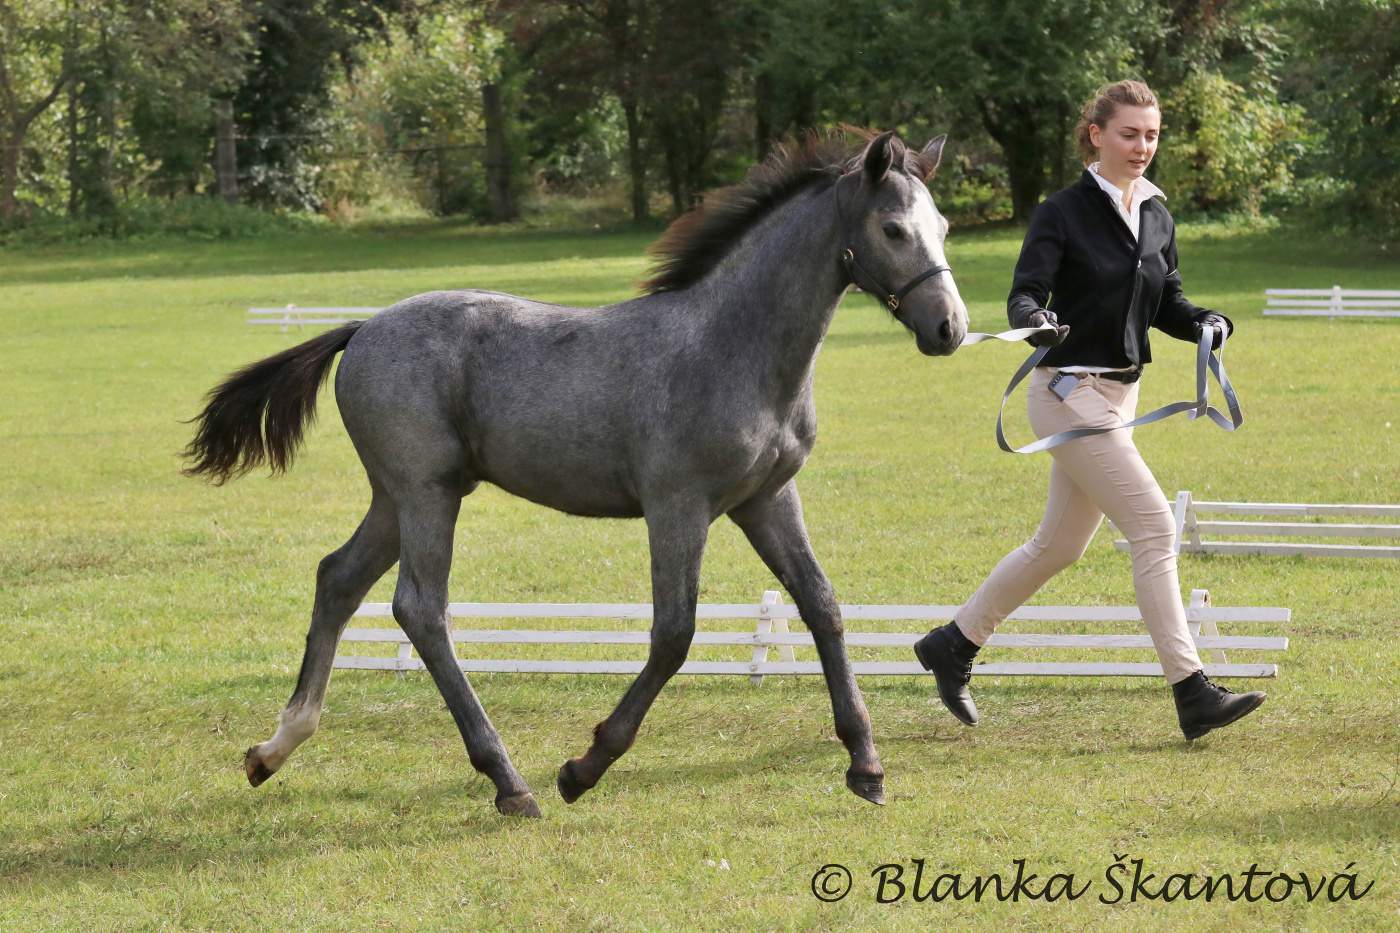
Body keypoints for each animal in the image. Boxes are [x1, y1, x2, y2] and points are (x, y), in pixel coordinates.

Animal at [184, 130, 969, 818]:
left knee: (339, 579)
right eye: (894, 229)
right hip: (425, 493)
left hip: (399, 497)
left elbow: (823, 605)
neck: (736, 348)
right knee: (420, 609)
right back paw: (510, 782)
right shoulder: (677, 505)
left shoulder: (767, 499)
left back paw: (273, 749)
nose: (950, 329)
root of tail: (362, 327)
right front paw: (583, 767)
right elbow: (674, 633)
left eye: (944, 225)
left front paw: (866, 766)